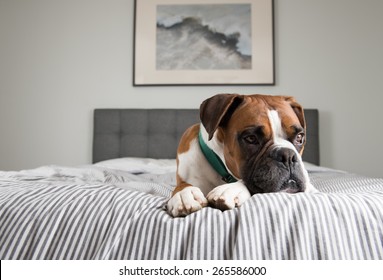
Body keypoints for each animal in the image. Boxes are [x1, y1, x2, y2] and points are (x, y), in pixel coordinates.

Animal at [166, 93, 316, 217]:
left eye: (299, 137)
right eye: (251, 138)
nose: (287, 156)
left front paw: (231, 189)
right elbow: (182, 186)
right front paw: (184, 194)